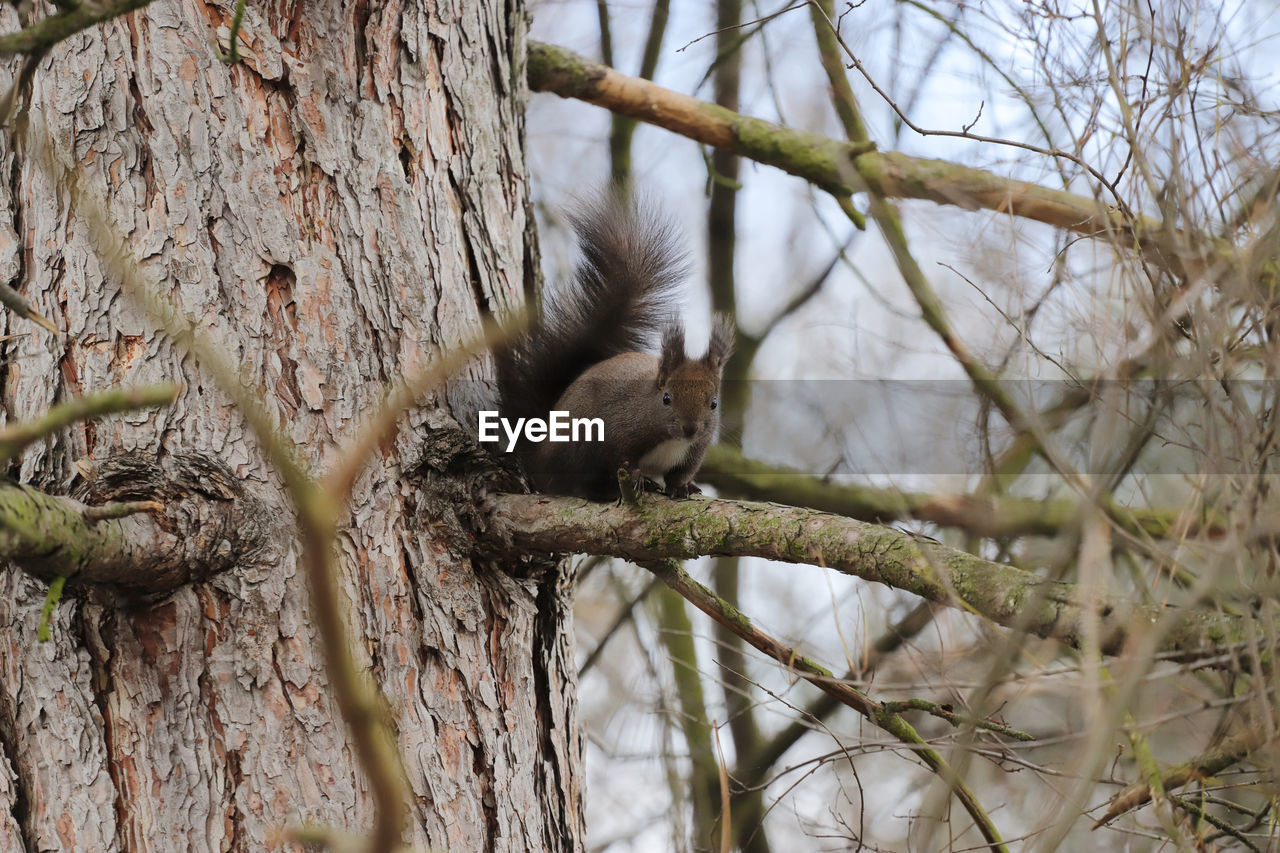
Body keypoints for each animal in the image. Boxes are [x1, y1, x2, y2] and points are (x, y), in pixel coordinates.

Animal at [494, 192, 737, 499]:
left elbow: (680, 473)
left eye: (714, 403)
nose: (690, 429)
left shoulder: (694, 451)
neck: (670, 439)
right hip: (574, 443)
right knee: (565, 481)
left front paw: (683, 487)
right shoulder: (618, 430)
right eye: (666, 398)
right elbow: (621, 458)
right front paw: (637, 478)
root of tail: (538, 453)